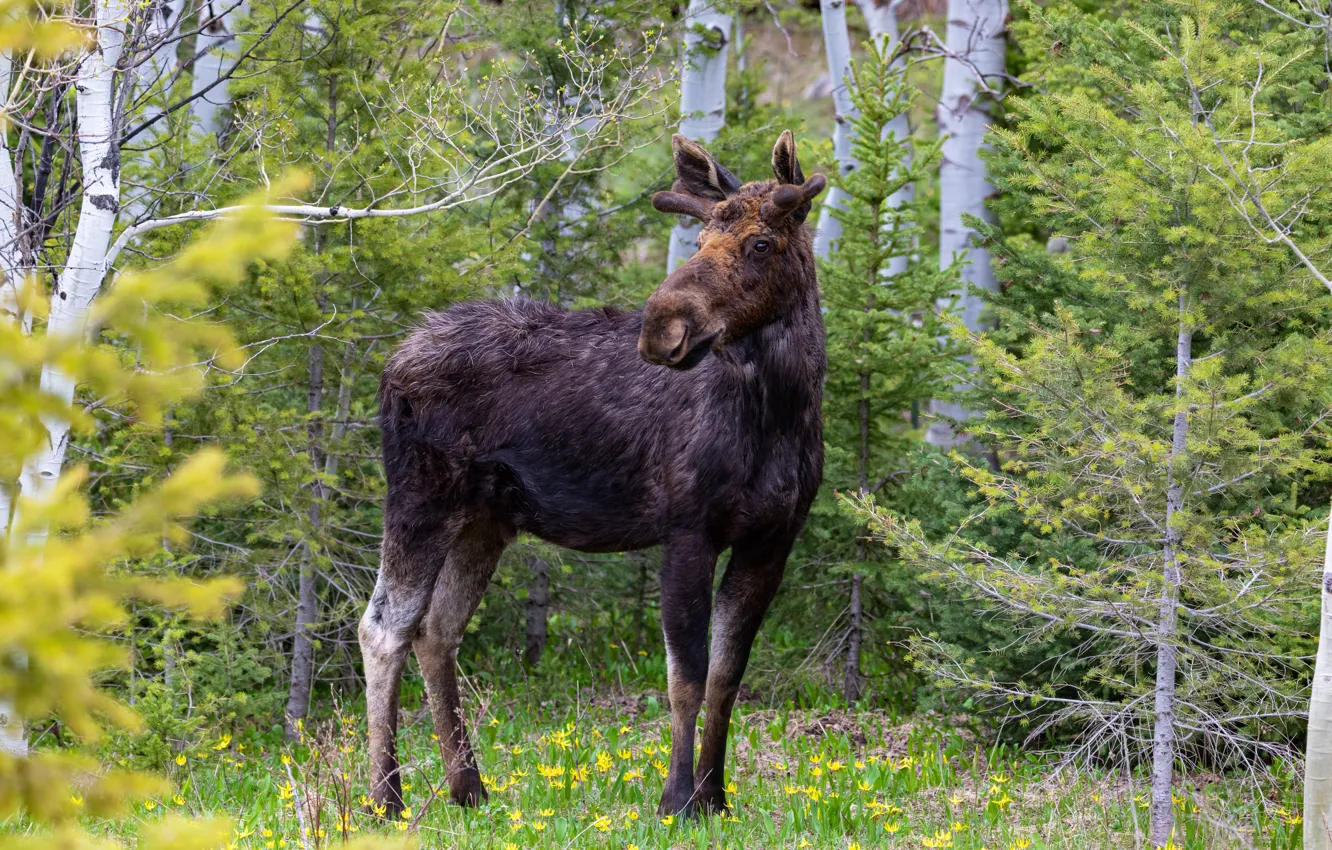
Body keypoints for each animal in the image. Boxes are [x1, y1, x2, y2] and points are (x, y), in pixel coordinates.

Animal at [359, 130, 828, 819]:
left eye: (760, 244)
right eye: (699, 239)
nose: (661, 327)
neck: (784, 411)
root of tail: (393, 362)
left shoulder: (772, 539)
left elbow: (725, 678)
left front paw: (716, 798)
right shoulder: (687, 530)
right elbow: (685, 679)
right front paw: (676, 800)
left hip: (486, 519)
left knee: (437, 630)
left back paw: (467, 787)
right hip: (421, 496)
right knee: (383, 629)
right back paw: (384, 799)